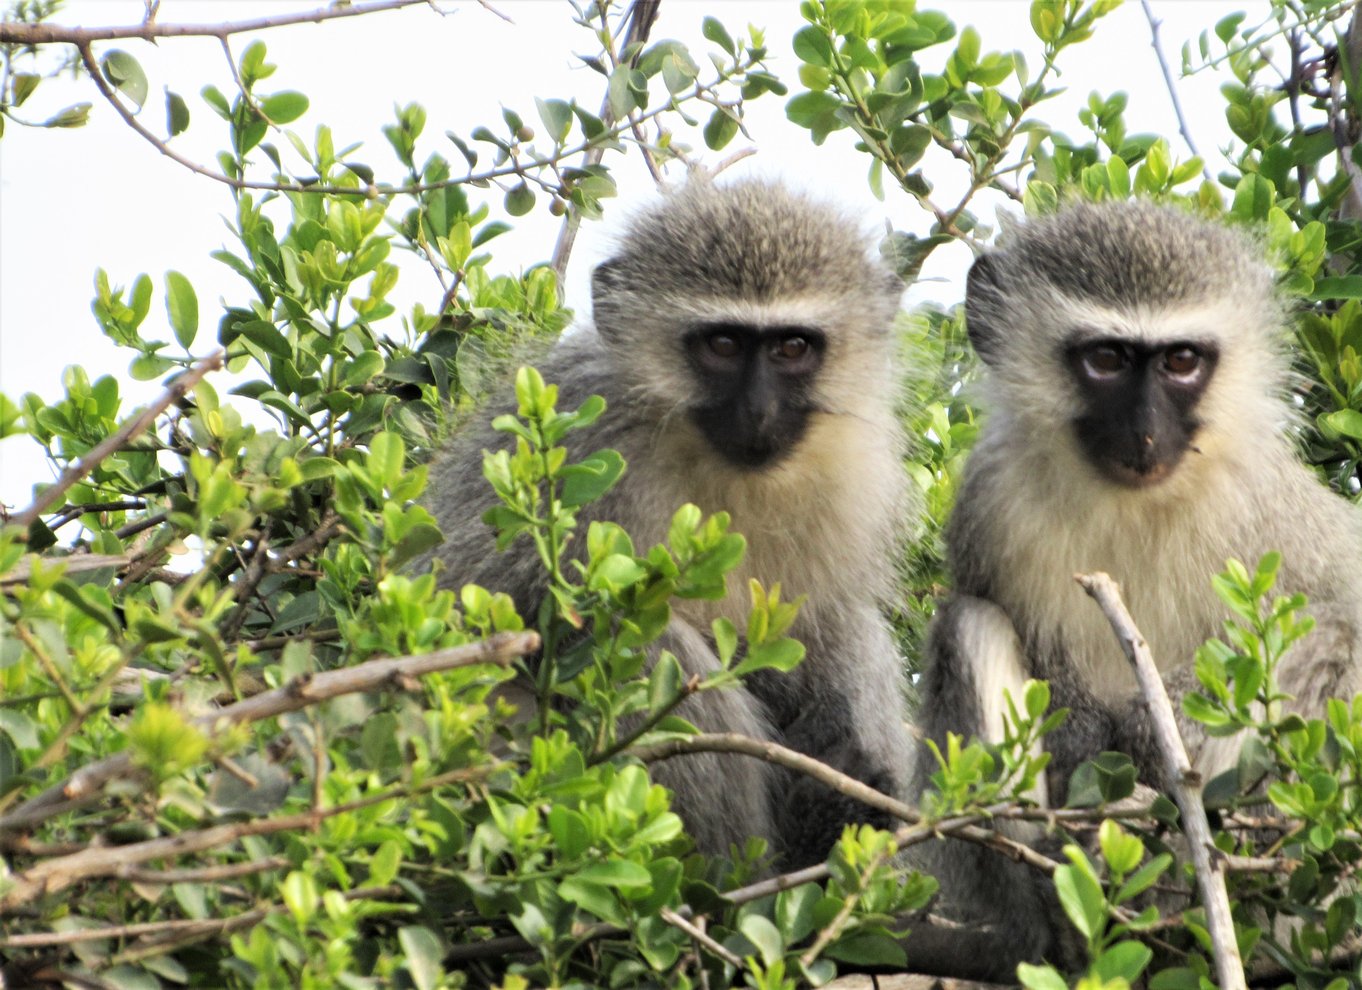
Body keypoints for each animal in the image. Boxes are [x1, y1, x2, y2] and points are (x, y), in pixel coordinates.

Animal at [424, 179, 915, 866]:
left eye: (792, 347)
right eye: (723, 345)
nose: (760, 413)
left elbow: (820, 623)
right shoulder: (574, 444)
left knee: (848, 623)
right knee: (637, 631)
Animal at [915, 201, 1362, 975]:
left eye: (1182, 361)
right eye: (1106, 360)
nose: (1147, 432)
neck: (1137, 499)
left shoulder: (1273, 507)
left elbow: (1344, 604)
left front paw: (1153, 735)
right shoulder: (990, 502)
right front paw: (1094, 749)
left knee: (1329, 636)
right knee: (968, 622)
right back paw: (1063, 899)